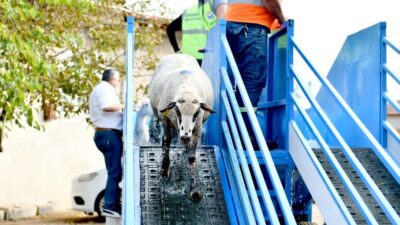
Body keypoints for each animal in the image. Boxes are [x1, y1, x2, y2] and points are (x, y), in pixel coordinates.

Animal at [148, 53, 214, 201]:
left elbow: (192, 158)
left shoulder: (197, 129)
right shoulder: (165, 120)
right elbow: (166, 141)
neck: (187, 87)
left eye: (197, 112)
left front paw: (194, 191)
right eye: (177, 111)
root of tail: (178, 53)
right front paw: (164, 170)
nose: (184, 137)